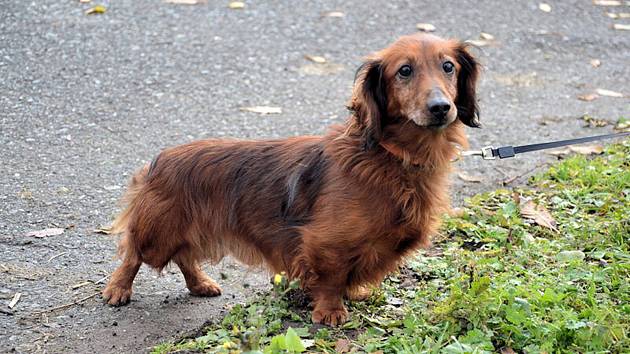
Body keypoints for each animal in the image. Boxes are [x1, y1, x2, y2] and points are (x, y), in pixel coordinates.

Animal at [103, 34, 482, 326]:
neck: (389, 157)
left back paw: (200, 284)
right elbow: (331, 277)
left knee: (184, 256)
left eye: (448, 66)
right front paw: (329, 311)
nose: (440, 108)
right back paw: (118, 289)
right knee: (133, 252)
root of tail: (158, 160)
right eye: (404, 70)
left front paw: (355, 293)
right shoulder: (324, 242)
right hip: (159, 230)